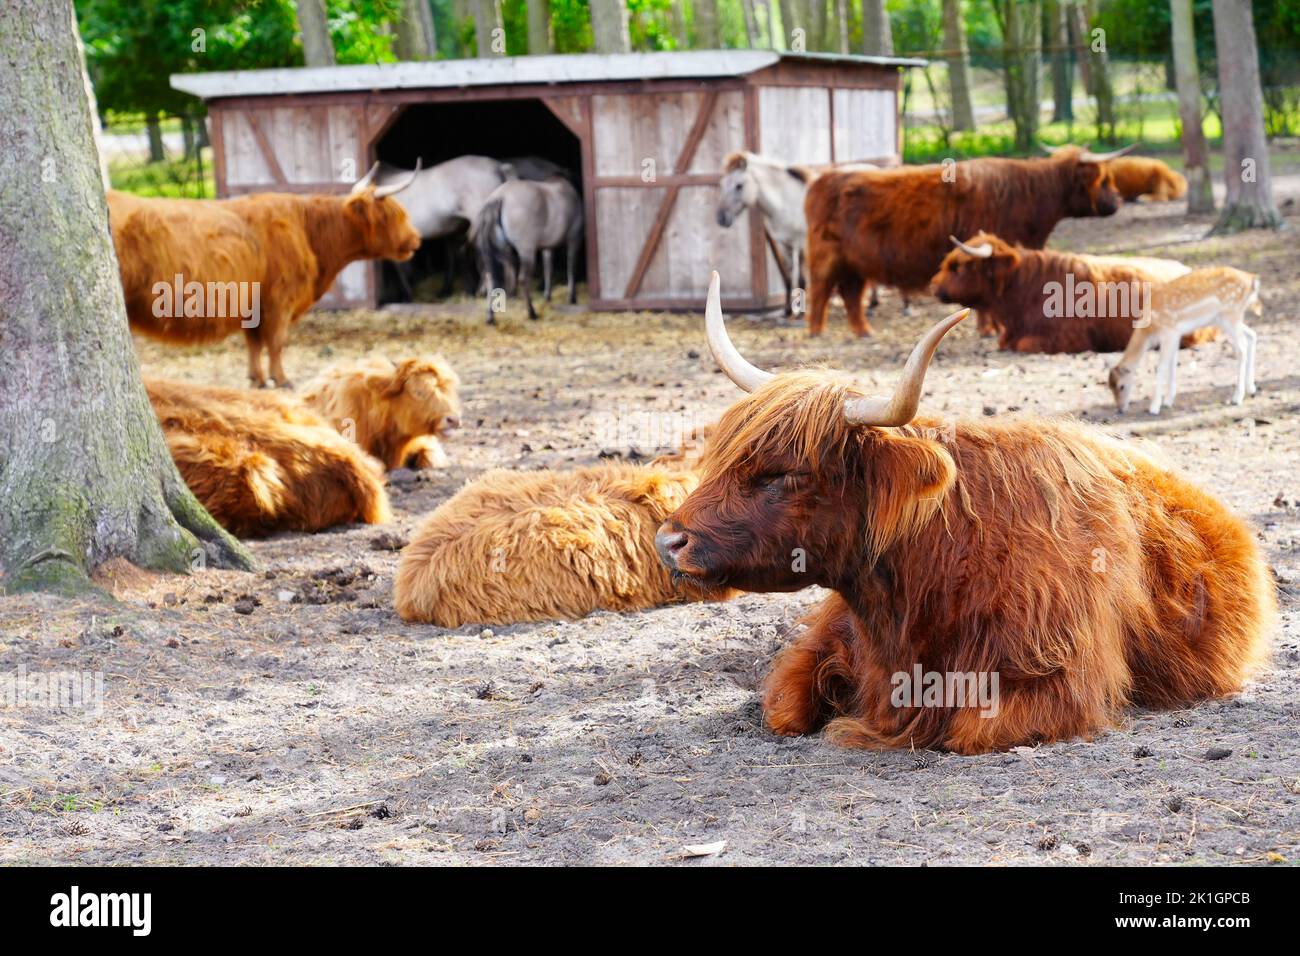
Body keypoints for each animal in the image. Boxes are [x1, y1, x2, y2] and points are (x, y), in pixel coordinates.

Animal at [108, 163, 422, 389]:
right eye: (392, 214)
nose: (416, 240)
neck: (309, 231)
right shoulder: (280, 300)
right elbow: (276, 342)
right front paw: (281, 379)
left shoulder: (254, 304)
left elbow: (255, 343)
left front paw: (257, 378)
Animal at [802, 145, 1134, 337]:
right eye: (1104, 178)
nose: (1118, 200)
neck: (1029, 194)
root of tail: (824, 178)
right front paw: (989, 329)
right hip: (825, 257)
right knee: (819, 291)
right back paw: (816, 332)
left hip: (853, 263)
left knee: (850, 294)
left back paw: (864, 331)